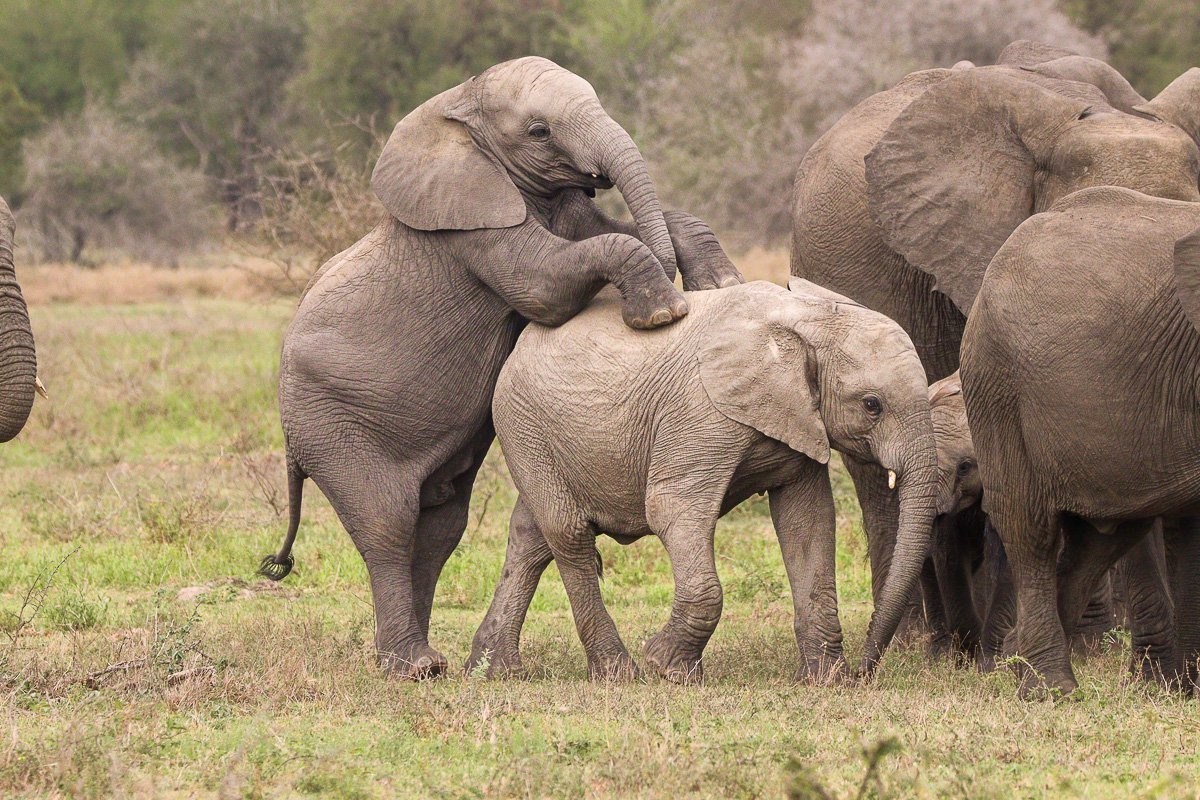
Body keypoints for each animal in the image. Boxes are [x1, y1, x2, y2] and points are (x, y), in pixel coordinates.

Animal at [259, 57, 742, 680]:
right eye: (539, 131)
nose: (679, 291)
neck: (458, 110)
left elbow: (621, 230)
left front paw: (719, 283)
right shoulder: (475, 232)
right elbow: (548, 283)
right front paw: (664, 312)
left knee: (438, 527)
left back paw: (419, 657)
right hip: (329, 424)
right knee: (387, 524)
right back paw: (416, 667)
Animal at [466, 279, 939, 683]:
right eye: (872, 405)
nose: (864, 671)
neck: (808, 318)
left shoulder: (802, 421)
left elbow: (807, 521)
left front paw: (826, 681)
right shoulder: (701, 412)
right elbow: (671, 508)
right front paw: (667, 669)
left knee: (532, 537)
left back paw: (493, 671)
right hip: (521, 423)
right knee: (567, 532)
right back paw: (619, 673)